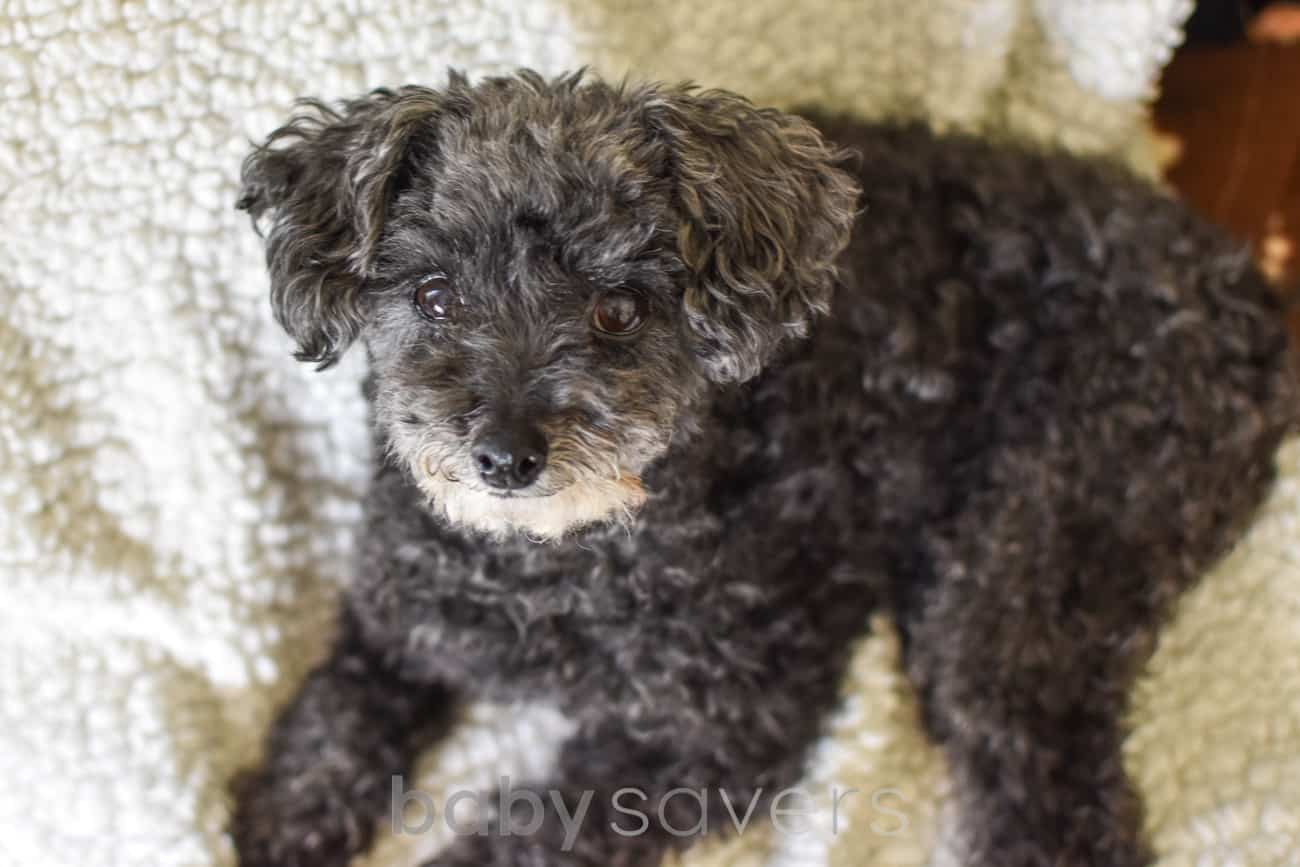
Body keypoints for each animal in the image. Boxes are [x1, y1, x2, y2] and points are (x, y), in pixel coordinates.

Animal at [228, 69, 1294, 867]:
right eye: (435, 296)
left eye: (618, 309)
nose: (506, 456)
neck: (550, 566)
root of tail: (1246, 290)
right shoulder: (397, 616)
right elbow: (338, 709)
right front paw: (285, 816)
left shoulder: (726, 726)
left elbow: (537, 828)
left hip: (1036, 549)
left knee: (1053, 778)